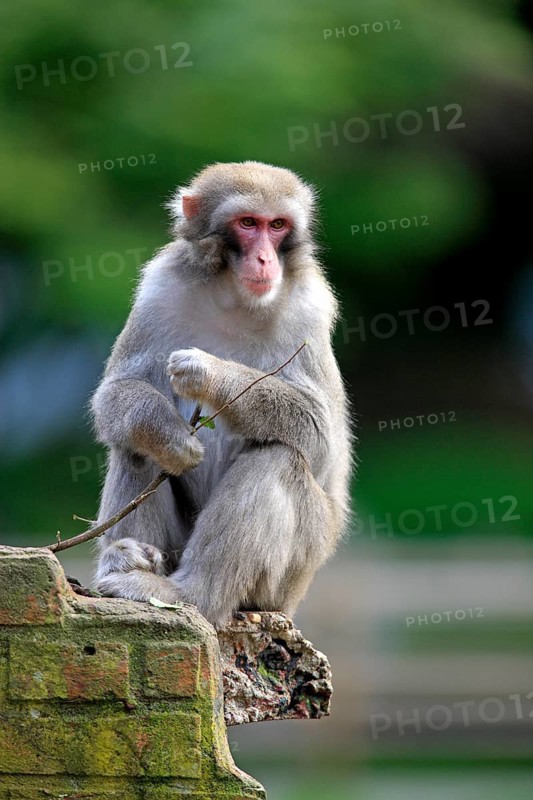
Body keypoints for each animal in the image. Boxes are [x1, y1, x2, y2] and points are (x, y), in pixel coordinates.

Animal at [91, 161, 352, 629]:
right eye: (248, 223)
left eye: (277, 225)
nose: (265, 258)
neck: (234, 298)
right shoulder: (160, 287)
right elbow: (117, 392)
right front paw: (167, 434)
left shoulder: (309, 308)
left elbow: (320, 434)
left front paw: (208, 372)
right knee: (131, 444)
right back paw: (129, 557)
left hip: (293, 571)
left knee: (279, 456)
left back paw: (190, 594)